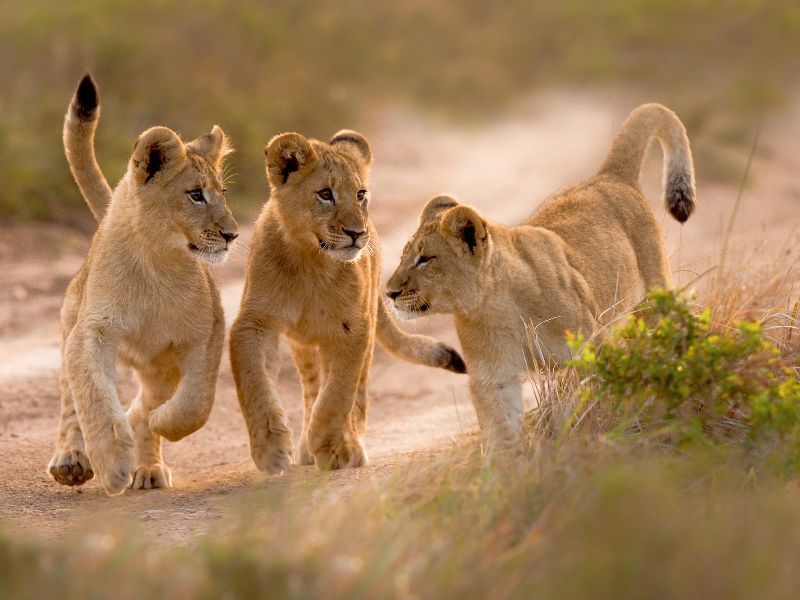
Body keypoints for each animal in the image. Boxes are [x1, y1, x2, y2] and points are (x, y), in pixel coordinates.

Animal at [47, 72, 239, 495]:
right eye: (196, 195)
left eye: (222, 194)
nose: (233, 234)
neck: (157, 263)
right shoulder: (92, 331)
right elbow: (93, 394)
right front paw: (112, 462)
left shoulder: (207, 334)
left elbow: (196, 403)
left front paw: (160, 424)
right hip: (71, 325)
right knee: (70, 401)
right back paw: (72, 460)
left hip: (158, 366)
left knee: (146, 404)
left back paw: (148, 464)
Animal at [229, 129, 466, 473]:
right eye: (325, 194)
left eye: (360, 194)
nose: (357, 233)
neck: (311, 261)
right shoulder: (255, 322)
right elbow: (255, 383)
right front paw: (270, 449)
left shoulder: (353, 327)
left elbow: (338, 392)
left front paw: (330, 444)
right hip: (304, 345)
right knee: (312, 386)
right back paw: (306, 448)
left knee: (356, 391)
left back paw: (346, 443)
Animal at [385, 103, 696, 446]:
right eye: (403, 257)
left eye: (425, 259)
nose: (389, 292)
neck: (498, 305)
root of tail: (609, 175)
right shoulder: (494, 376)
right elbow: (500, 428)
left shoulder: (587, 351)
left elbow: (583, 404)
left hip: (653, 298)